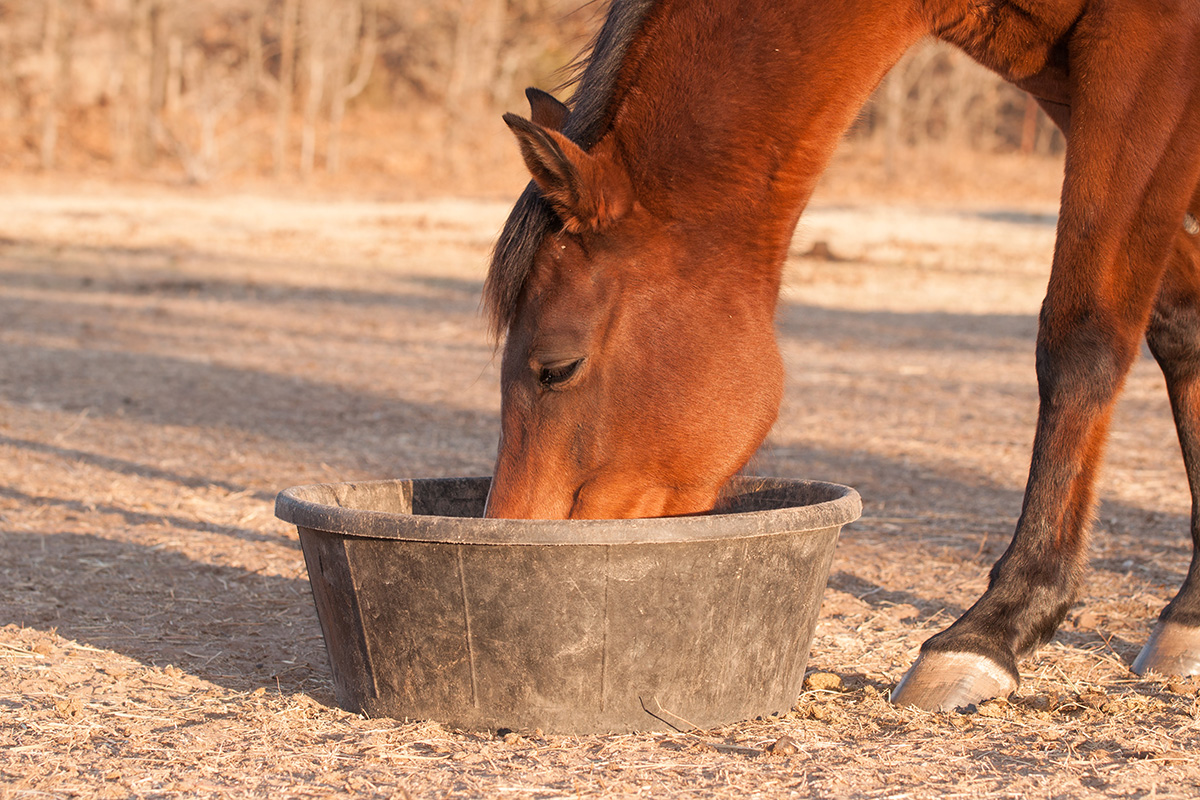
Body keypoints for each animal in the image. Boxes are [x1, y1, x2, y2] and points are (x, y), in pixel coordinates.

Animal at [480, 0, 1200, 714]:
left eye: (556, 368)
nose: (514, 536)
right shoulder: (1081, 85)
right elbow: (1182, 329)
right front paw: (1188, 616)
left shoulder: (1147, 54)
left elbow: (1083, 339)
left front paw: (995, 626)